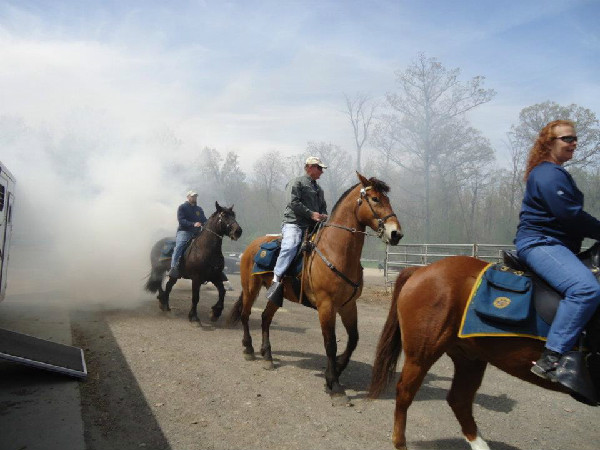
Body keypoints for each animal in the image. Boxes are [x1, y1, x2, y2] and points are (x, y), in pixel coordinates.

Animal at [229, 173, 404, 404]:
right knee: (246, 314)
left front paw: (337, 368)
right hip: (250, 288)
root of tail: (251, 246)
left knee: (266, 318)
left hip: (276, 295)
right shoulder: (326, 306)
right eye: (375, 199)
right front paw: (335, 384)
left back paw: (267, 356)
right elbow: (330, 343)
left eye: (387, 199)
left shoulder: (348, 305)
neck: (335, 251)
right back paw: (248, 349)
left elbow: (353, 340)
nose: (396, 234)